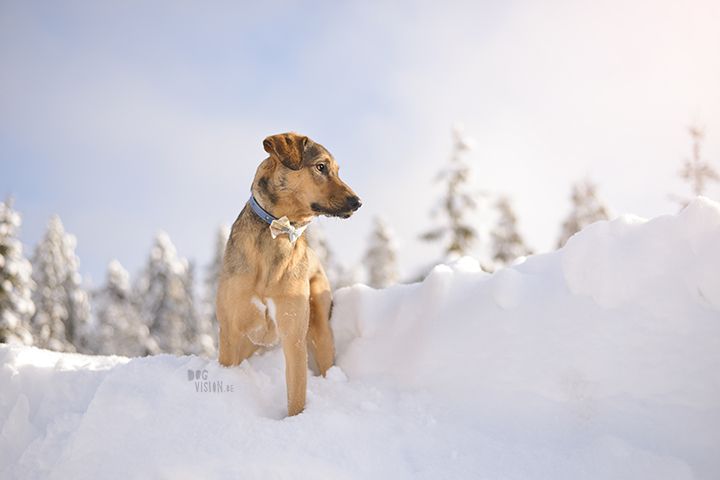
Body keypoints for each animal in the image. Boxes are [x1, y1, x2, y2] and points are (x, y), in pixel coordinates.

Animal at [214, 132, 360, 416]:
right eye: (321, 167)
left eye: (336, 170)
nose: (357, 202)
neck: (279, 231)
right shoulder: (230, 332)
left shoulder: (294, 334)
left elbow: (296, 394)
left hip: (321, 329)